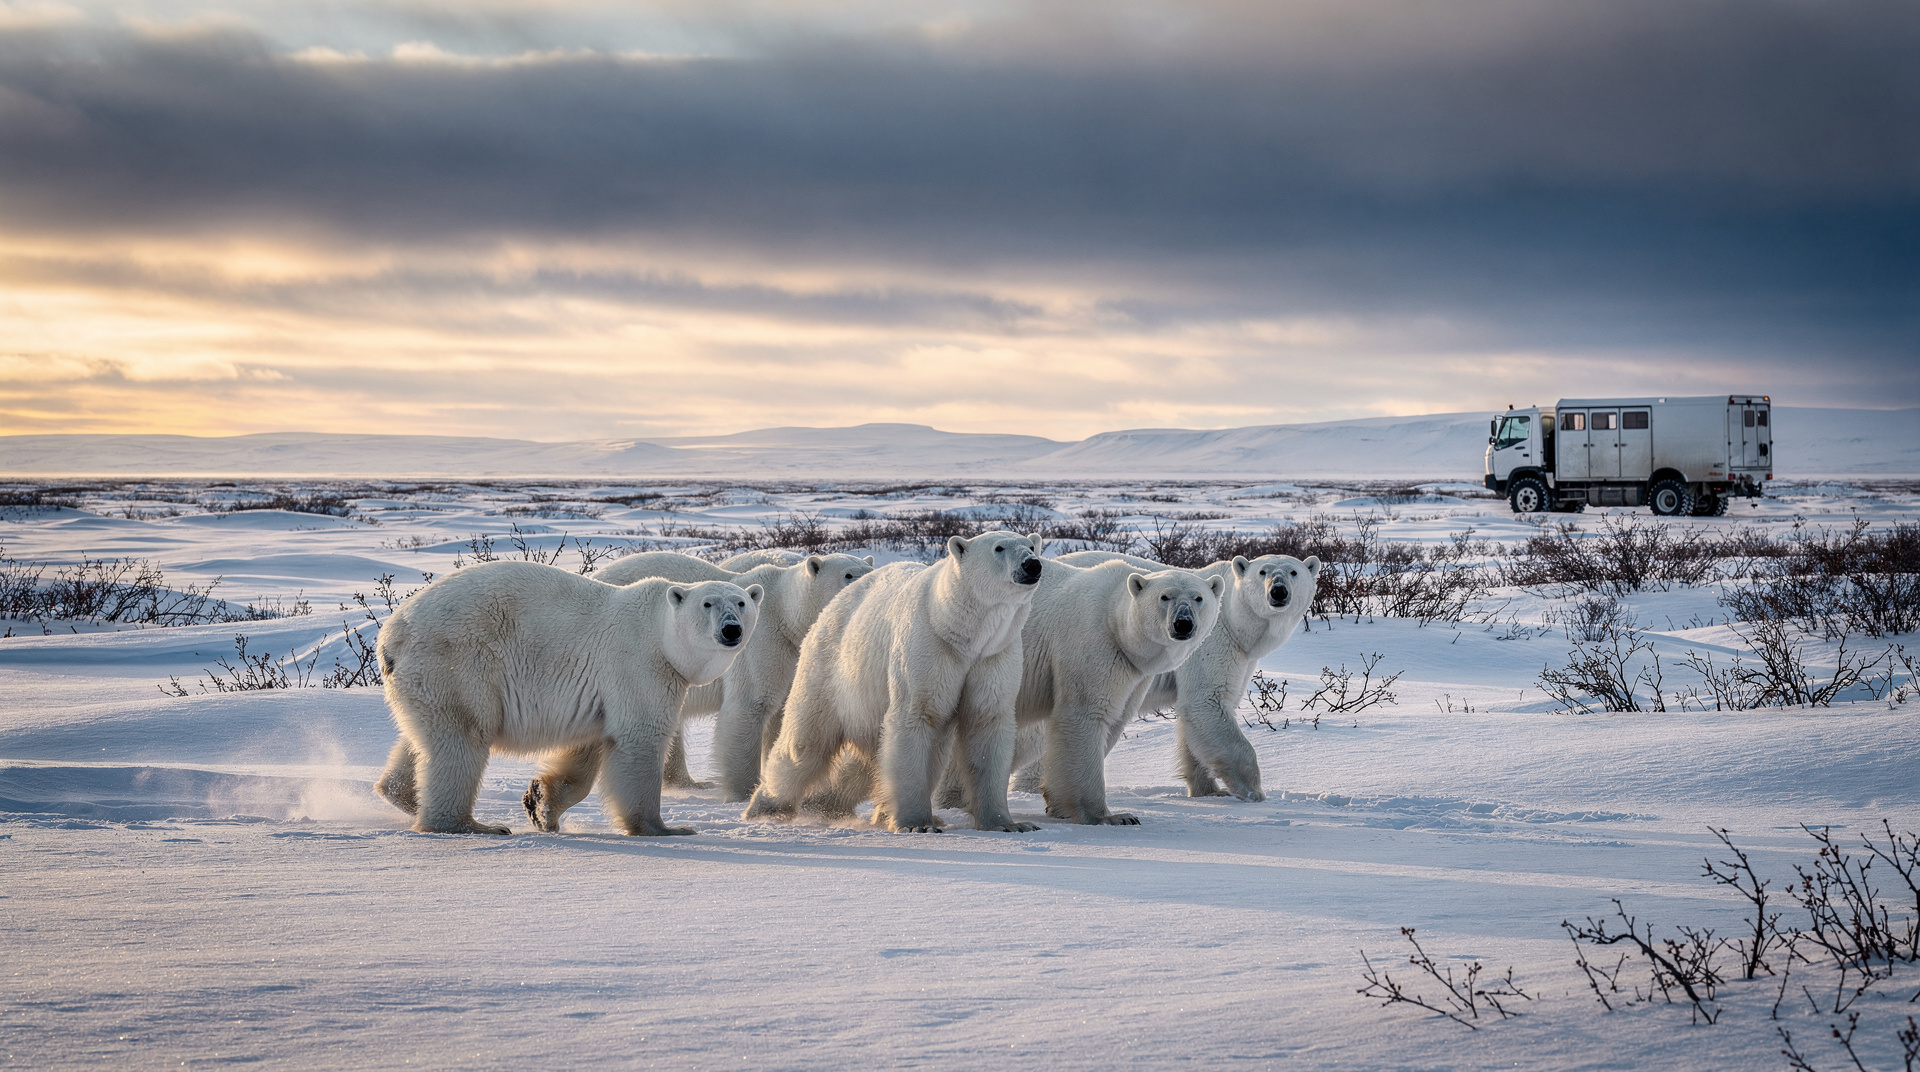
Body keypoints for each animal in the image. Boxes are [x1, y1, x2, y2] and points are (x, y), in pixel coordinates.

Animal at [372, 560, 762, 835]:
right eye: (708, 603)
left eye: (741, 602)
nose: (731, 629)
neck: (660, 633)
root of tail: (391, 636)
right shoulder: (638, 666)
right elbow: (639, 739)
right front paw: (665, 828)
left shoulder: (598, 693)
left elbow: (587, 746)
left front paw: (541, 804)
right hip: (459, 662)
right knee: (463, 738)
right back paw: (470, 824)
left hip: (428, 680)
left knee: (426, 736)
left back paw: (403, 795)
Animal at [522, 550, 875, 818]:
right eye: (848, 574)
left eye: (869, 569)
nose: (870, 584)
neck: (787, 615)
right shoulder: (764, 643)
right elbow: (750, 707)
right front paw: (742, 791)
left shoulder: (793, 656)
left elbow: (782, 716)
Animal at [744, 530, 1044, 833]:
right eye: (999, 547)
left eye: (1031, 546)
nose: (1032, 564)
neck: (958, 628)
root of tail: (831, 606)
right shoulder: (930, 644)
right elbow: (916, 716)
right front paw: (917, 824)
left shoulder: (993, 654)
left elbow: (987, 722)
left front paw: (1008, 824)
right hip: (828, 668)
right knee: (805, 741)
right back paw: (765, 808)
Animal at [938, 559, 1224, 824]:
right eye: (1165, 597)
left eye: (1198, 598)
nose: (1183, 624)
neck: (1114, 621)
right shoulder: (1092, 645)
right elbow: (1085, 715)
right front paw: (1111, 816)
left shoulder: (1135, 675)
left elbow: (1114, 720)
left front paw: (1057, 805)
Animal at [1056, 551, 1319, 800]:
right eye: (1263, 571)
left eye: (1293, 572)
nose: (1278, 591)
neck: (1232, 617)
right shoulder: (1213, 644)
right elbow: (1205, 701)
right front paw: (1254, 792)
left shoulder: (1242, 658)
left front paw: (1210, 791)